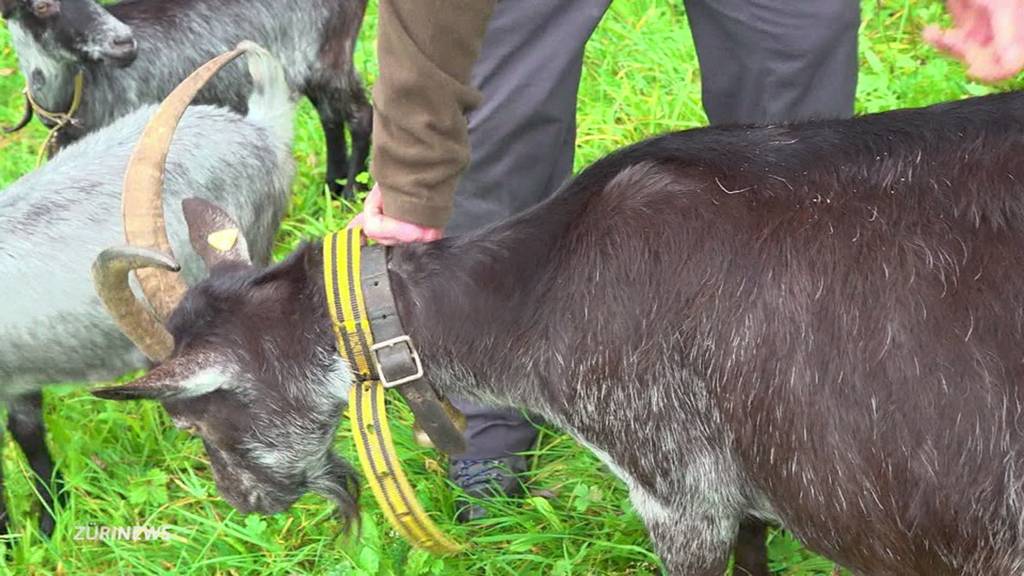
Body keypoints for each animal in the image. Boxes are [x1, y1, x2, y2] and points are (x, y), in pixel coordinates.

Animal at [0, 0, 368, 195]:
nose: (124, 43)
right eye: (41, 5)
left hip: (330, 55)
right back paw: (333, 188)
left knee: (359, 114)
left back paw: (354, 191)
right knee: (330, 117)